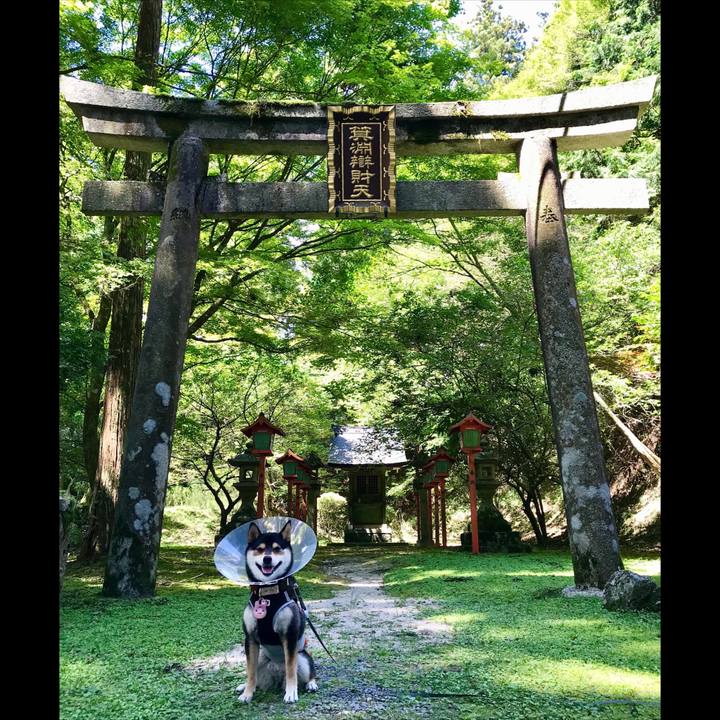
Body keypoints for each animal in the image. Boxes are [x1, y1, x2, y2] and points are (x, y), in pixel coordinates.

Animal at [236, 520, 318, 703]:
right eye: (260, 549)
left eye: (277, 548)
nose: (267, 558)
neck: (268, 593)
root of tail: (277, 672)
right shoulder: (250, 638)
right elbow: (250, 672)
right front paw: (247, 693)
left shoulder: (290, 636)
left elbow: (291, 668)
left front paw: (291, 693)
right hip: (260, 656)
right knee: (255, 675)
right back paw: (244, 686)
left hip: (303, 658)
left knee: (309, 671)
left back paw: (311, 684)